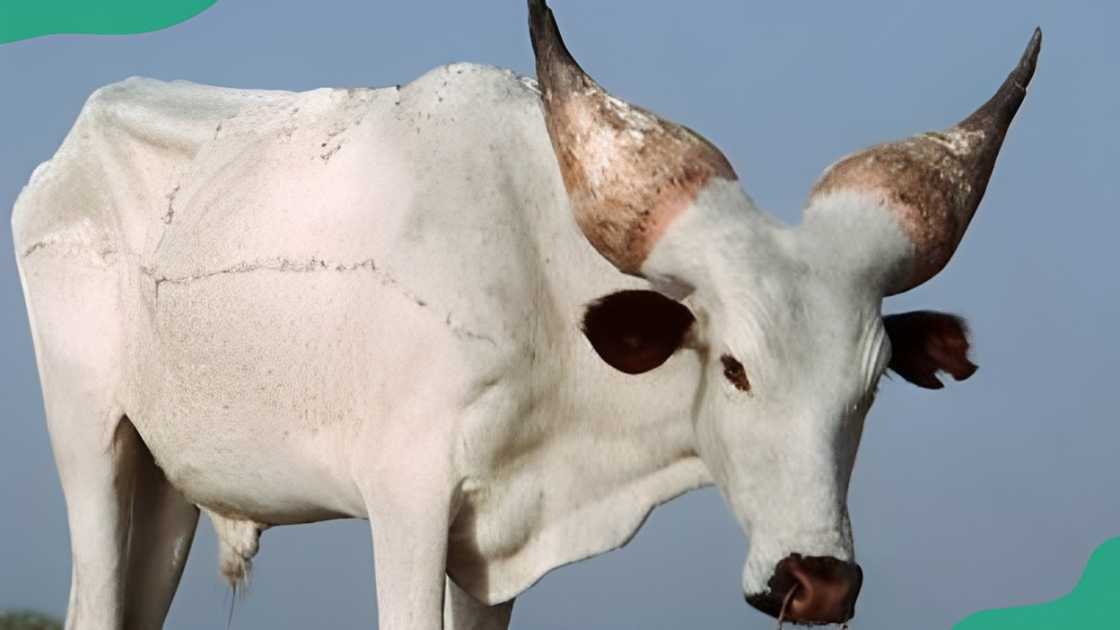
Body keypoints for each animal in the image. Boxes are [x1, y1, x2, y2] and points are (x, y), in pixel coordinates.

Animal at [11, 1, 1039, 628]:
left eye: (869, 389)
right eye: (735, 366)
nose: (818, 582)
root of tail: (63, 162)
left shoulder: (491, 553)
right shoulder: (406, 505)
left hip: (167, 484)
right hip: (89, 440)